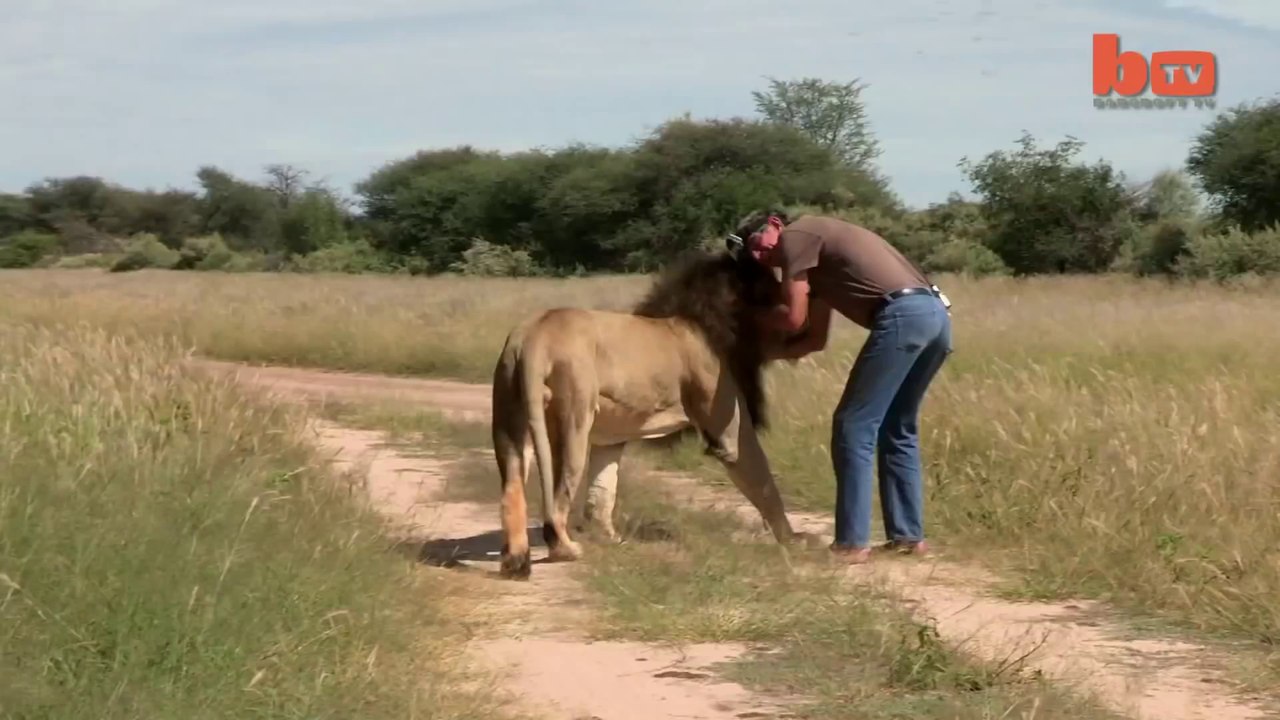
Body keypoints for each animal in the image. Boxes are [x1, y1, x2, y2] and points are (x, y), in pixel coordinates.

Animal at [490, 247, 811, 580]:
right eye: (774, 287)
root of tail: (533, 337)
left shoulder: (609, 439)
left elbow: (602, 490)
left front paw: (610, 539)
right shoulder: (727, 423)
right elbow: (761, 479)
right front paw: (792, 538)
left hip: (510, 420)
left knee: (511, 491)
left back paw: (516, 560)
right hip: (572, 421)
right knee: (559, 497)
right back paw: (564, 550)